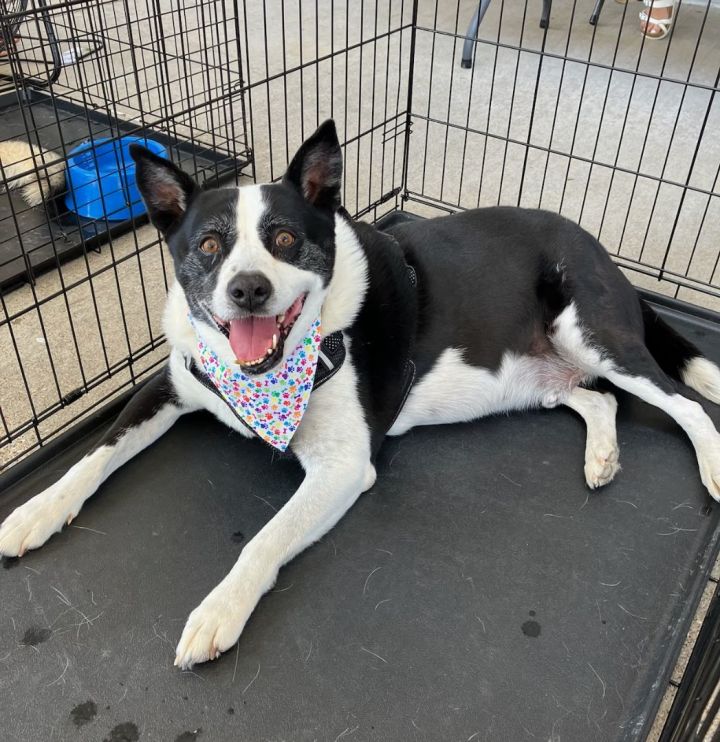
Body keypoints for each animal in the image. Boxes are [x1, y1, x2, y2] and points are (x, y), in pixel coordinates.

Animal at [1, 120, 720, 668]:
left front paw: (219, 609)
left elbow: (264, 538)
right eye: (207, 245)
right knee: (598, 399)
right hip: (538, 376)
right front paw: (36, 511)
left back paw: (711, 464)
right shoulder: (172, 383)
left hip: (589, 331)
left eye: (285, 239)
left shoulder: (344, 467)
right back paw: (601, 457)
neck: (267, 373)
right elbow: (97, 453)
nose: (248, 289)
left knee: (682, 402)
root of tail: (597, 246)